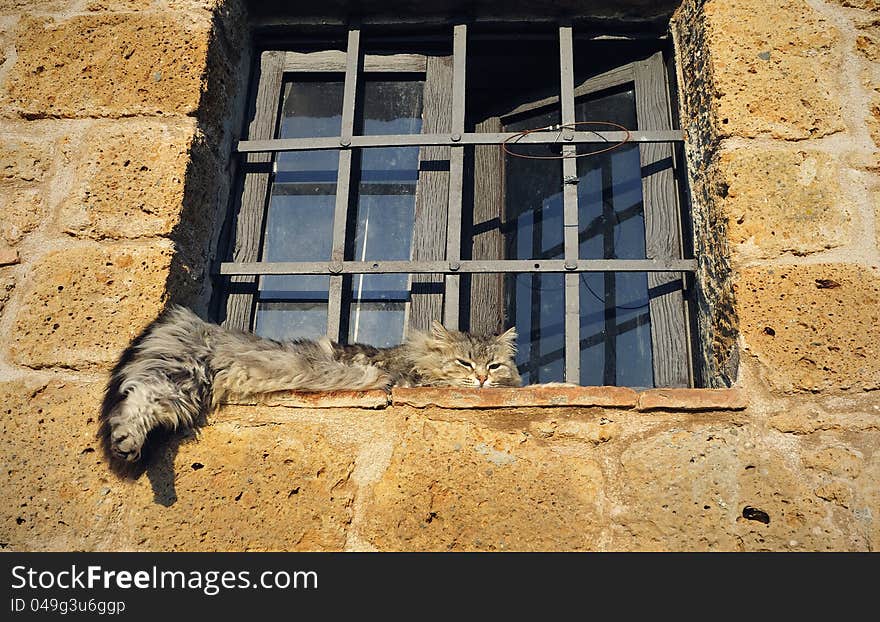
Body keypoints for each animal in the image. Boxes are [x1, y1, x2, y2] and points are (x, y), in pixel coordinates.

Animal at [103, 308, 520, 464]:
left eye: (493, 365)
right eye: (464, 362)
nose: (482, 378)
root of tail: (204, 329)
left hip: (184, 386)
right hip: (180, 375)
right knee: (136, 399)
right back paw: (126, 443)